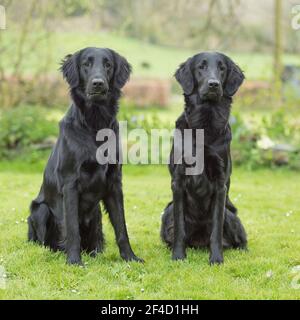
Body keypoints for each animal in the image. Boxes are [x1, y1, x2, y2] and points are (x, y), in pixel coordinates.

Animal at [27, 47, 142, 264]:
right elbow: (72, 228)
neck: (95, 124)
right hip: (40, 210)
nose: (98, 83)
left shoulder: (114, 182)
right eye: (86, 64)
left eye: (108, 65)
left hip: (96, 213)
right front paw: (74, 260)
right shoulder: (70, 182)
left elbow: (121, 227)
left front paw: (130, 257)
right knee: (44, 240)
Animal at [161, 51, 247, 264]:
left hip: (231, 215)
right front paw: (178, 256)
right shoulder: (178, 180)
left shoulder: (220, 183)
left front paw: (216, 259)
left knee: (240, 239)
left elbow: (216, 229)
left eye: (222, 68)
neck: (205, 126)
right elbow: (180, 228)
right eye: (201, 67)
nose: (213, 84)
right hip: (167, 212)